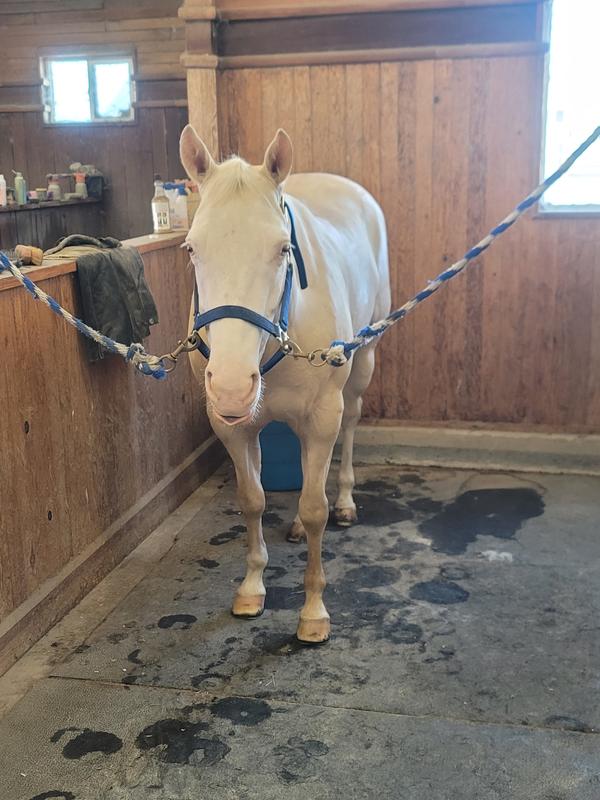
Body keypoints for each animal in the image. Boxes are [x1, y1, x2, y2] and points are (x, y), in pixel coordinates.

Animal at [180, 125, 391, 644]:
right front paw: (252, 587)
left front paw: (313, 611)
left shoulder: (323, 416)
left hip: (363, 363)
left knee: (351, 427)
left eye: (281, 249)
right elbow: (252, 500)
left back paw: (347, 502)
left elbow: (316, 509)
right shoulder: (232, 426)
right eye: (192, 248)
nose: (232, 384)